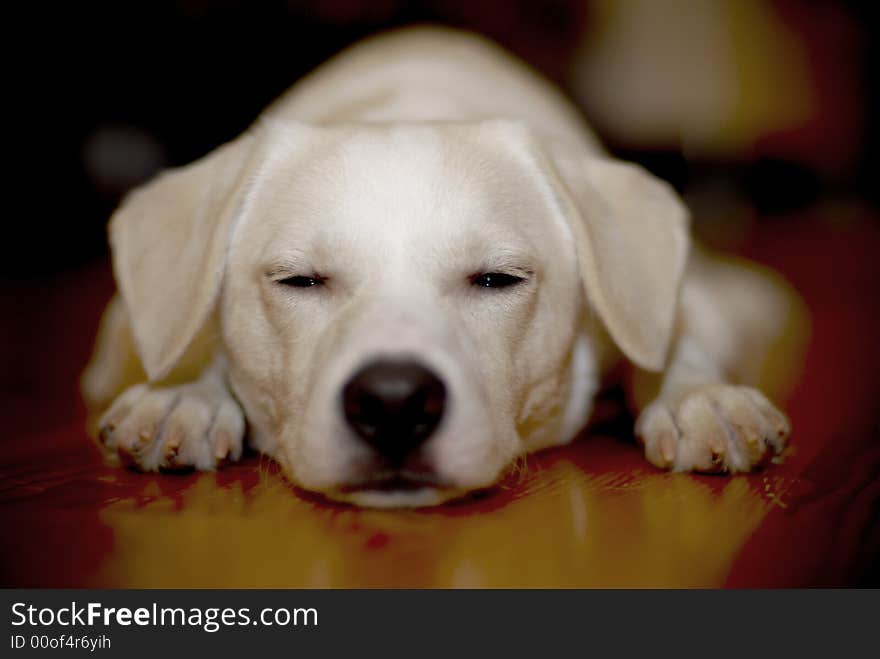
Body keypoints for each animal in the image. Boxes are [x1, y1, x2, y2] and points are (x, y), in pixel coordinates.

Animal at [86, 25, 800, 508]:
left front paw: (695, 395)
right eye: (299, 280)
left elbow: (671, 337)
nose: (394, 401)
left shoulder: (659, 300)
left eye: (498, 279)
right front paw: (184, 391)